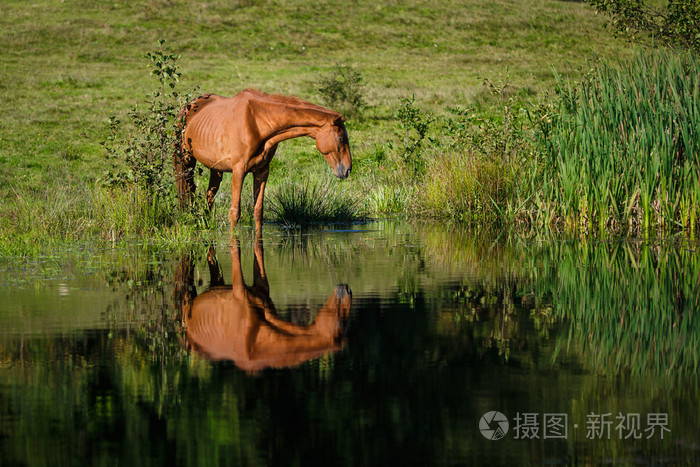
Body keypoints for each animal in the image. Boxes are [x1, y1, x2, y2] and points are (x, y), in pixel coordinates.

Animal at [175, 89, 352, 233]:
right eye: (341, 138)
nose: (347, 170)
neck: (257, 121)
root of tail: (189, 106)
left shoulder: (262, 171)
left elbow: (258, 211)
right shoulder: (239, 171)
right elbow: (235, 212)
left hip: (215, 169)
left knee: (209, 196)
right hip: (186, 161)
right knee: (188, 190)